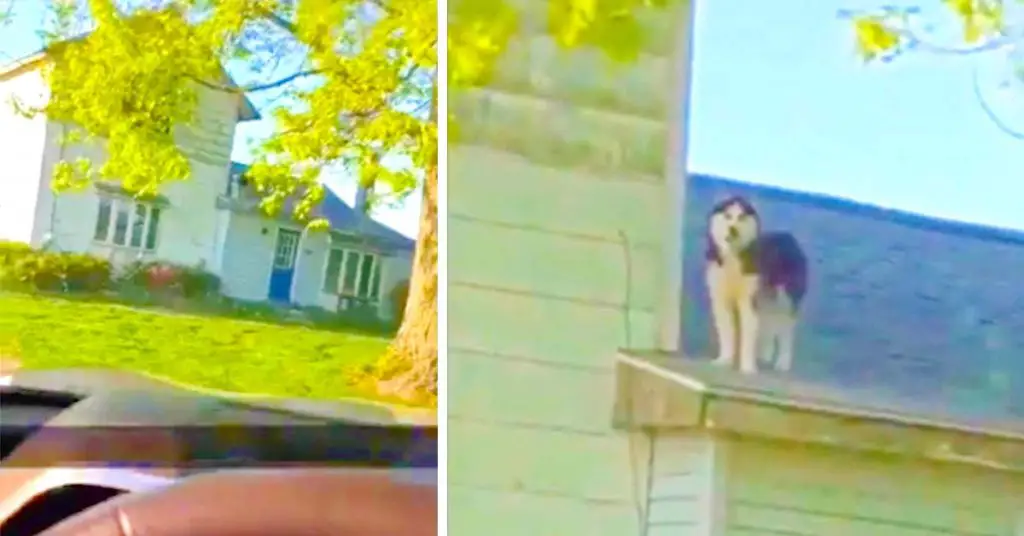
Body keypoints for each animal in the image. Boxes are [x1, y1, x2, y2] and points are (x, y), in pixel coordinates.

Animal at [704, 194, 806, 375]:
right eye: (728, 216)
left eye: (741, 217)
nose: (732, 229)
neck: (733, 257)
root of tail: (789, 238)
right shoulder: (720, 299)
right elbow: (726, 332)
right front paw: (724, 360)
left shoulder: (749, 300)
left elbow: (749, 334)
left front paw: (747, 367)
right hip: (767, 297)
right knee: (770, 322)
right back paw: (765, 355)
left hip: (786, 298)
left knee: (786, 330)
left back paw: (783, 362)